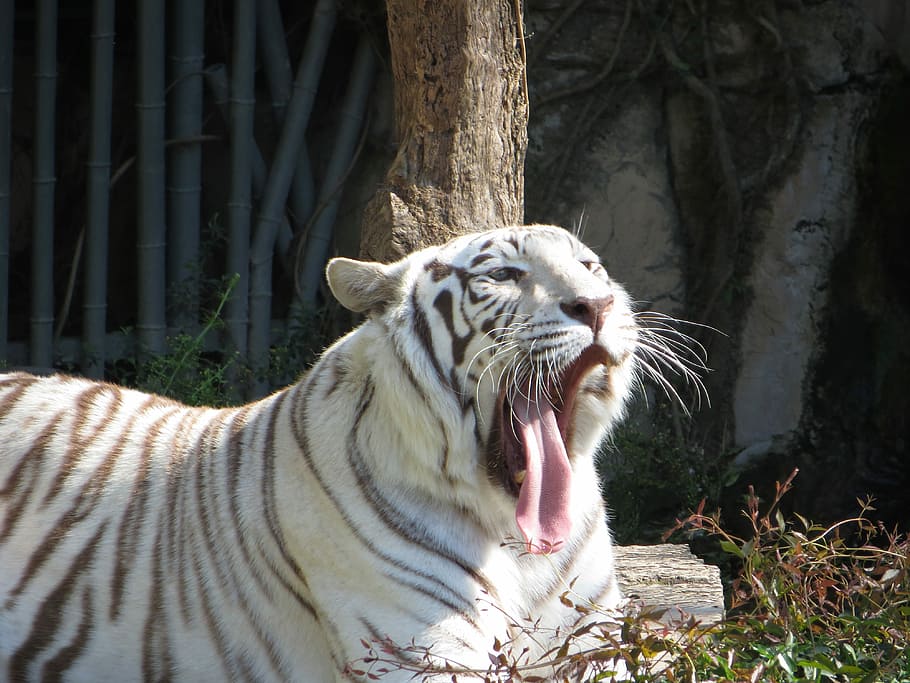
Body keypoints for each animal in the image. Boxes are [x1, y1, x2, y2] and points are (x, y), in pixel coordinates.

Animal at [0, 224, 702, 682]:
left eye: (592, 268)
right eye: (504, 275)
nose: (598, 304)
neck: (515, 537)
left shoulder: (596, 640)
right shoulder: (422, 650)